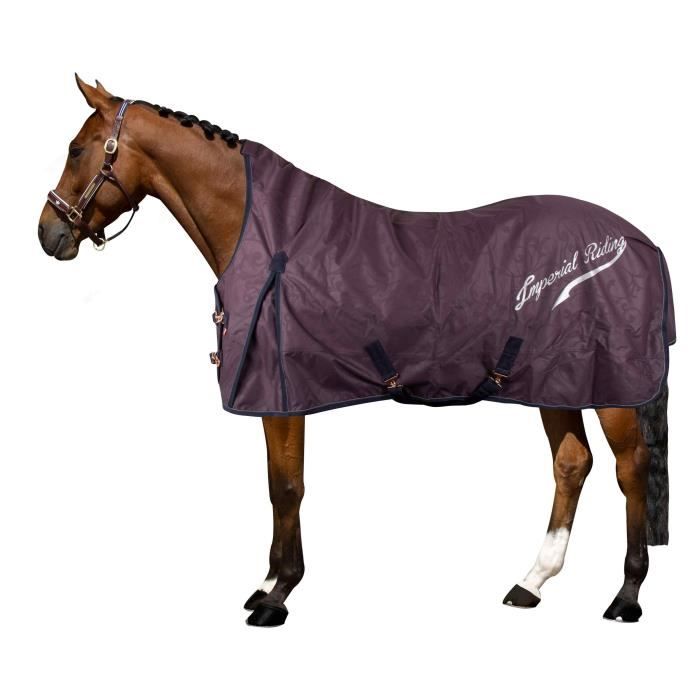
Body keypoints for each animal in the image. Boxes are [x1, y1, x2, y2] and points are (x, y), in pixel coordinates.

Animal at [38, 76, 672, 627]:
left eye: (76, 150)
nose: (48, 233)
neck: (269, 238)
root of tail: (640, 241)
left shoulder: (283, 394)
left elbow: (287, 486)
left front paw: (278, 596)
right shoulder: (277, 397)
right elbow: (277, 483)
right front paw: (266, 585)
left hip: (611, 388)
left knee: (630, 468)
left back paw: (627, 595)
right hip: (556, 381)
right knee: (572, 464)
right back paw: (530, 583)